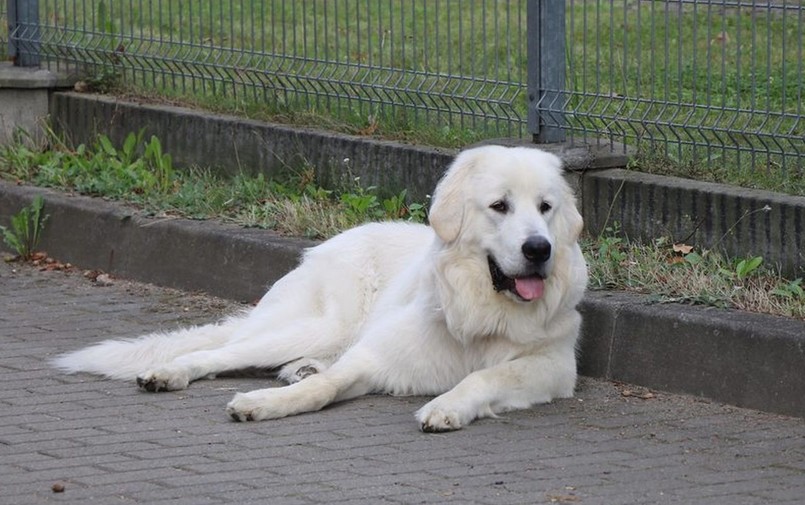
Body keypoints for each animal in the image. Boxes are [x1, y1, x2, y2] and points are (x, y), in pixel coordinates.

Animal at [53, 144, 588, 432]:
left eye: (546, 208)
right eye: (500, 206)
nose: (539, 249)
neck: (481, 310)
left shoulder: (551, 368)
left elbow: (484, 378)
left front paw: (446, 406)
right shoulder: (377, 355)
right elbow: (325, 388)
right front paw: (263, 405)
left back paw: (300, 368)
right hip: (317, 326)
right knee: (218, 352)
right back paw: (169, 373)